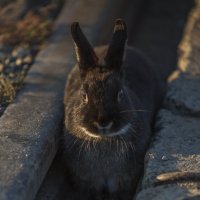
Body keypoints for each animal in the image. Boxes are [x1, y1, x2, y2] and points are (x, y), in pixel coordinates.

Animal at [63, 19, 164, 200]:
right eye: (84, 95)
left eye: (120, 94)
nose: (103, 121)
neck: (104, 139)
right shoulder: (88, 181)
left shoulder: (123, 181)